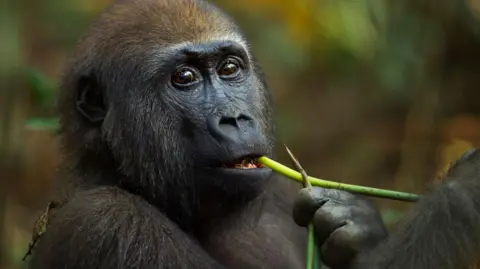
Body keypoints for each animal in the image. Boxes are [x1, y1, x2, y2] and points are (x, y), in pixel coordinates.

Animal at [27, 0, 480, 268]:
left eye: (229, 68)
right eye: (184, 78)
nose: (236, 118)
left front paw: (355, 225)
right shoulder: (107, 223)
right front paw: (462, 193)